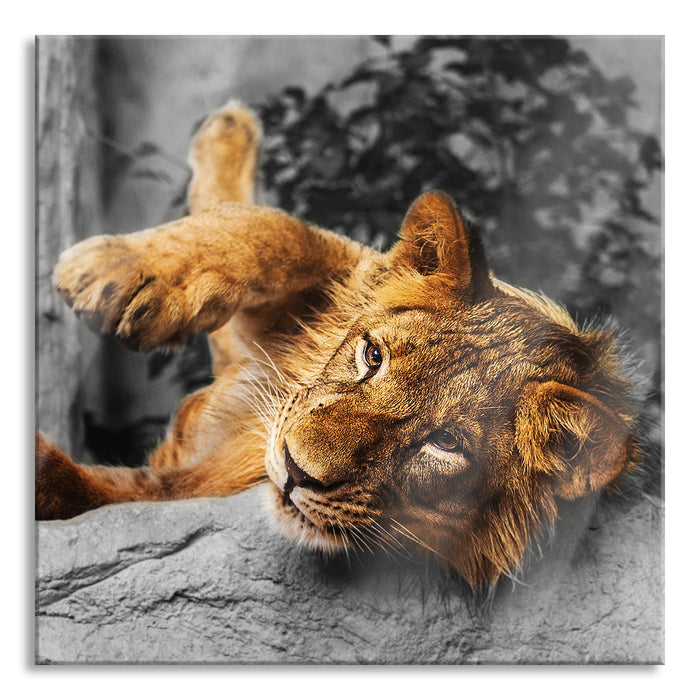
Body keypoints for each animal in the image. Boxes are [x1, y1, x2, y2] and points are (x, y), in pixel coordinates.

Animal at [35, 101, 641, 590]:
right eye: (372, 356)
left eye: (446, 444)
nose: (295, 469)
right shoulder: (333, 277)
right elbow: (275, 229)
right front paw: (110, 271)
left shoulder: (183, 490)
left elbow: (103, 491)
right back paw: (229, 129)